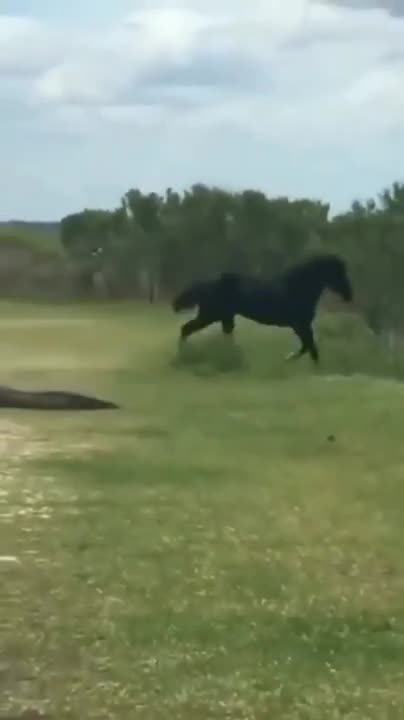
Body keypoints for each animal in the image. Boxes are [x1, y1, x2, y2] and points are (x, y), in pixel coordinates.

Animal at [172, 253, 353, 363]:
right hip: (210, 315)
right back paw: (184, 355)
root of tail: (206, 284)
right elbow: (310, 348)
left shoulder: (302, 326)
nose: (349, 295)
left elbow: (309, 347)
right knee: (186, 329)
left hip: (224, 317)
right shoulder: (300, 325)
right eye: (338, 272)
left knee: (215, 334)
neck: (297, 287)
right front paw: (289, 359)